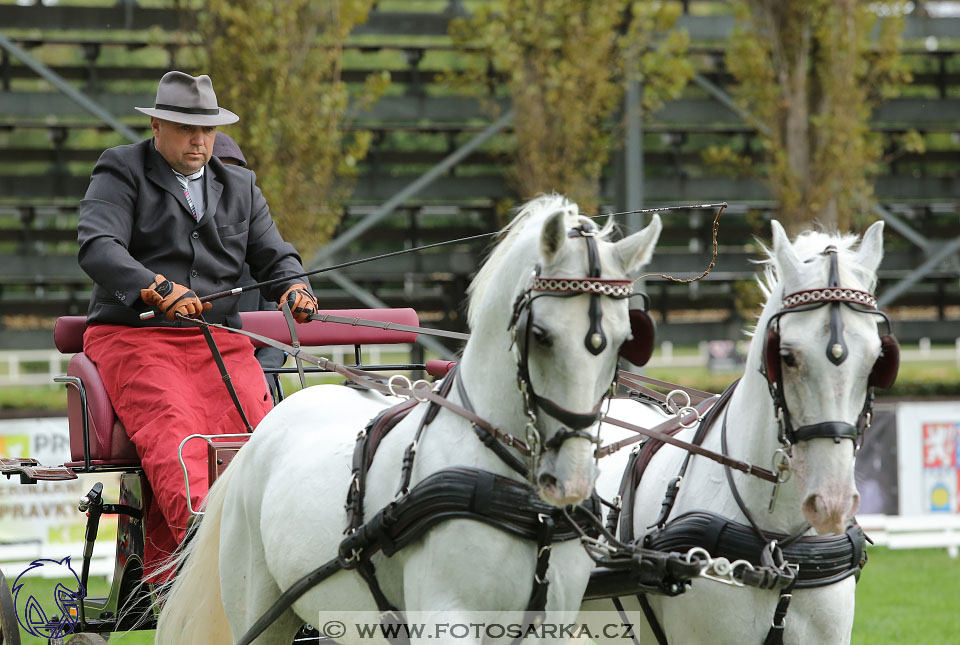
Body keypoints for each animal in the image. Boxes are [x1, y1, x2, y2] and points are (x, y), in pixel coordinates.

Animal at [158, 196, 664, 644]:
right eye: (540, 335)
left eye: (625, 338)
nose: (571, 481)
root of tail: (260, 432)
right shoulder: (446, 617)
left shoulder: (553, 621)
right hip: (258, 610)